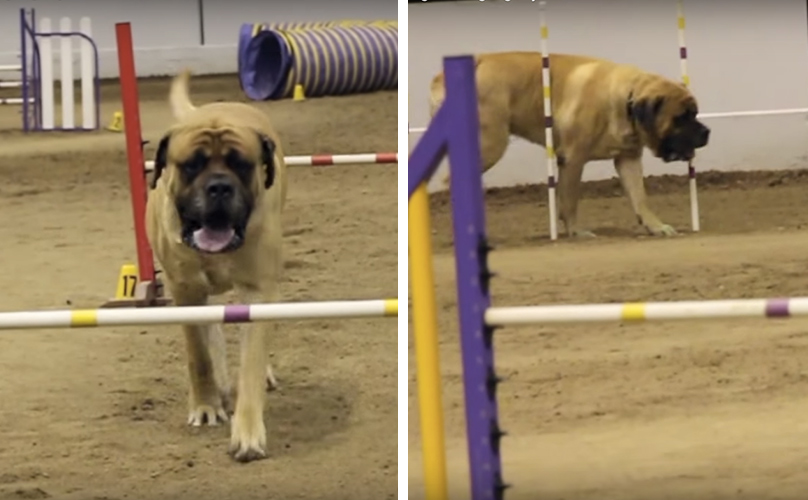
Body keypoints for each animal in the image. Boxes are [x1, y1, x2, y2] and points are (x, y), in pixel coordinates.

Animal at [145, 69, 288, 460]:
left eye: (241, 164)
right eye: (191, 165)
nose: (220, 187)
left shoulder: (259, 290)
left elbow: (251, 359)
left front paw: (248, 432)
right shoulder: (184, 290)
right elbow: (199, 354)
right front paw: (206, 405)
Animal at [430, 51, 708, 239]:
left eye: (694, 113)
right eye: (681, 117)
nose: (707, 132)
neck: (624, 101)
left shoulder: (628, 159)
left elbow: (640, 198)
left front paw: (655, 226)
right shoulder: (573, 159)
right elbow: (570, 199)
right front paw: (576, 231)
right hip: (490, 145)